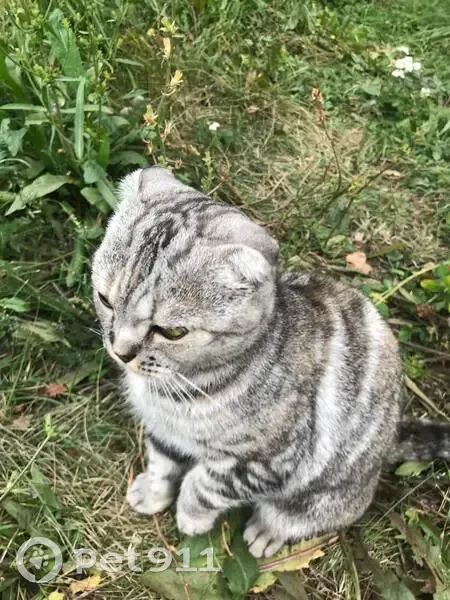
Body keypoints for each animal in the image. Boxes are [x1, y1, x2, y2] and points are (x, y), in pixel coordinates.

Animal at [92, 166, 450, 557]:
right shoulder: (164, 429)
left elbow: (203, 486)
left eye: (172, 332)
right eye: (105, 300)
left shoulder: (266, 463)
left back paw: (268, 531)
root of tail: (392, 437)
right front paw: (154, 492)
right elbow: (162, 461)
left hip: (324, 495)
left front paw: (191, 517)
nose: (121, 350)